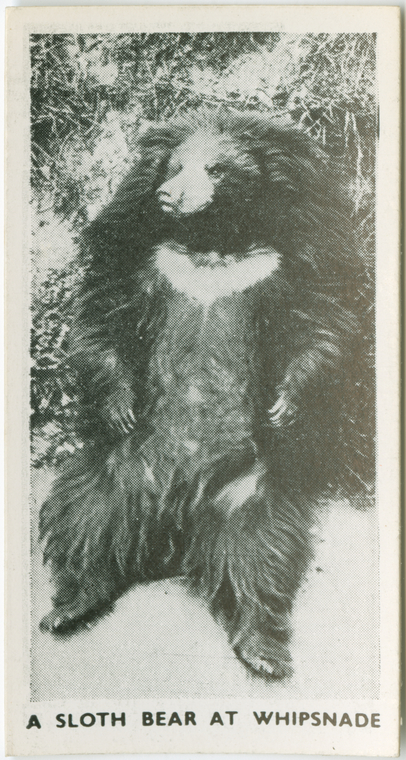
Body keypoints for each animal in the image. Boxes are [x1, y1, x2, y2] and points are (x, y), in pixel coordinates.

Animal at [38, 108, 374, 679]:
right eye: (173, 166)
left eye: (215, 169)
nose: (168, 196)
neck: (215, 237)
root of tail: (175, 523)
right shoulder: (139, 246)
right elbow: (105, 307)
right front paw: (119, 404)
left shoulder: (299, 252)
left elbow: (319, 319)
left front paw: (286, 407)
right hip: (121, 468)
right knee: (86, 514)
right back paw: (71, 605)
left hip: (247, 488)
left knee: (259, 550)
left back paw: (262, 649)